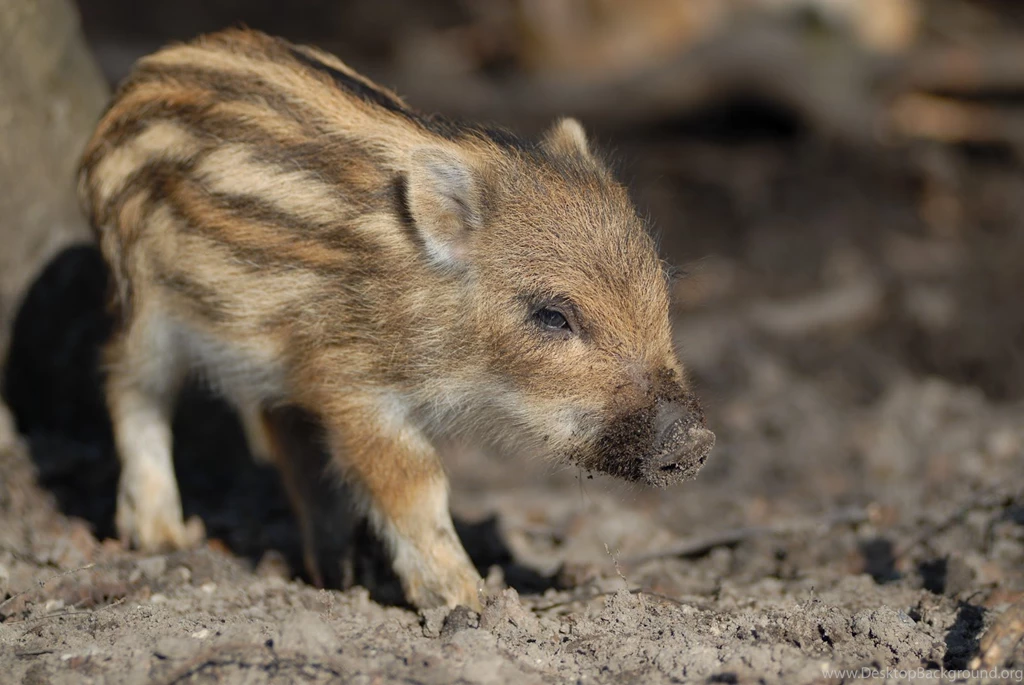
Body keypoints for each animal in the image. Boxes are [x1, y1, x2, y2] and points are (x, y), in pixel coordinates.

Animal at [77, 29, 714, 609]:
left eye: (660, 291)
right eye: (553, 317)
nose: (694, 439)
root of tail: (137, 80)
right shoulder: (350, 379)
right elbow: (415, 480)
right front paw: (467, 598)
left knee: (287, 435)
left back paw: (336, 574)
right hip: (142, 301)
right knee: (128, 382)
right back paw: (161, 535)